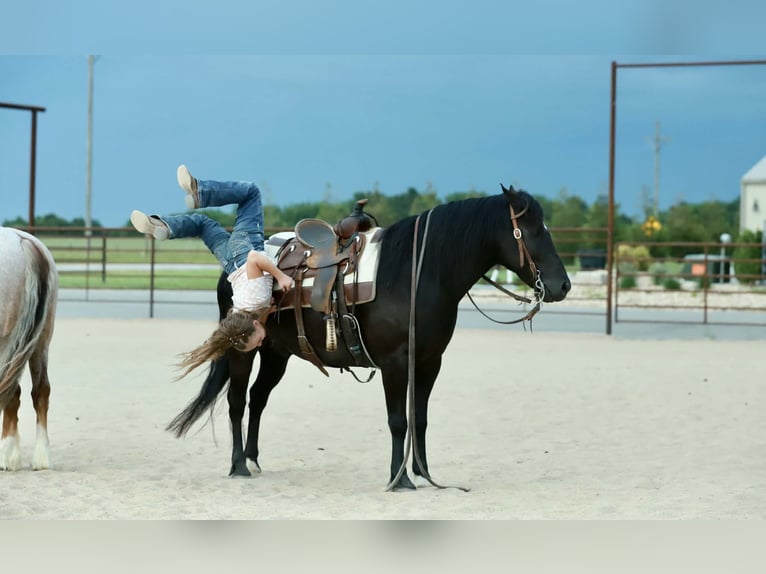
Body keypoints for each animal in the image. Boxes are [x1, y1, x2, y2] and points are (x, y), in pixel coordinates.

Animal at [168, 185, 571, 490]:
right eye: (533, 230)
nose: (563, 285)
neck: (414, 274)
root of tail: (235, 266)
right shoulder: (395, 362)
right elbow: (398, 421)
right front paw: (400, 479)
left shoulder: (429, 362)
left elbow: (420, 418)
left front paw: (423, 473)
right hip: (243, 349)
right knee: (236, 400)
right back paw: (238, 465)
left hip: (276, 353)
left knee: (257, 398)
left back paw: (253, 459)